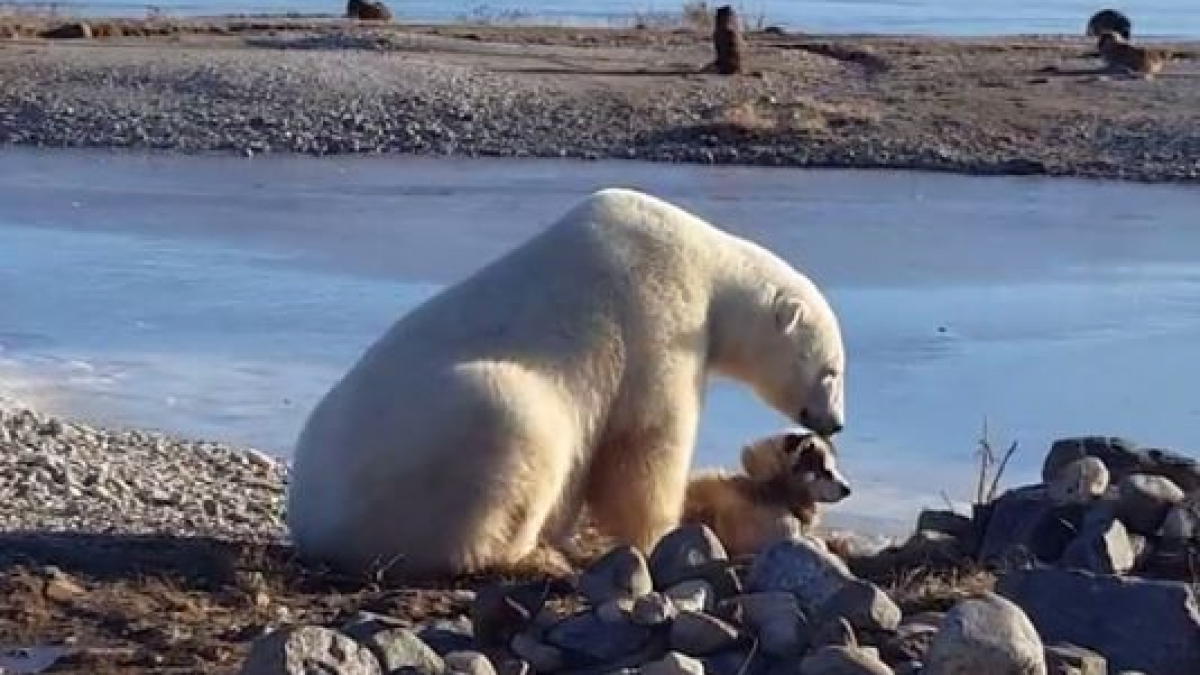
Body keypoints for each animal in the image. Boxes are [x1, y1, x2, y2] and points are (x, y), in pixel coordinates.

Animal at [285, 186, 849, 576]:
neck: (705, 261)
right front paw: (663, 532)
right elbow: (645, 444)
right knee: (513, 424)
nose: (836, 422)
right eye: (832, 371)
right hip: (431, 446)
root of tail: (313, 524)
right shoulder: (658, 319)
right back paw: (522, 554)